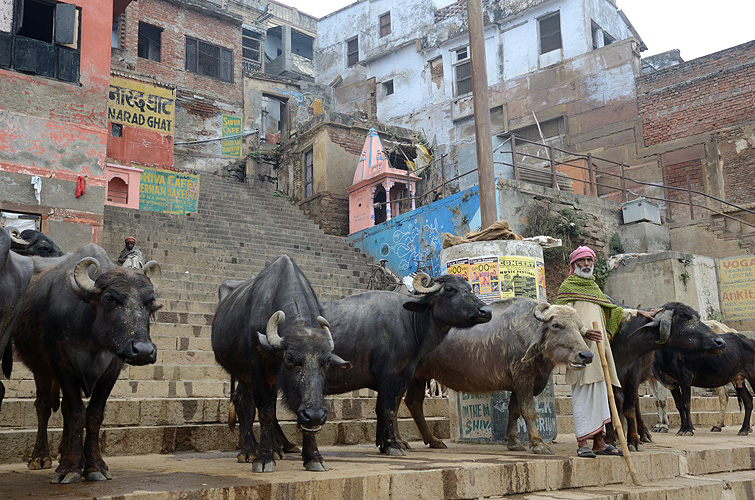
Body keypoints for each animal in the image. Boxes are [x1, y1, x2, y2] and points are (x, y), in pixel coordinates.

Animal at [12, 244, 162, 482]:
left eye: (149, 302)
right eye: (109, 298)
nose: (143, 351)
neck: (92, 339)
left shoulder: (112, 369)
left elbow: (93, 415)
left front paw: (93, 466)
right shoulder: (62, 365)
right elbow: (75, 414)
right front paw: (70, 468)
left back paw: (64, 451)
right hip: (41, 368)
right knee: (44, 406)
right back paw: (41, 457)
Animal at [210, 256, 352, 470]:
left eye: (327, 362)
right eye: (290, 358)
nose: (315, 414)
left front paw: (314, 457)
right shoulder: (256, 367)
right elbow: (266, 412)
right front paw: (263, 459)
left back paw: (277, 449)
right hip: (244, 374)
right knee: (246, 404)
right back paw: (249, 451)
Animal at [322, 276, 494, 456]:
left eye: (469, 288)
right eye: (449, 290)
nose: (485, 311)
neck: (410, 321)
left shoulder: (405, 376)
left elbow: (385, 409)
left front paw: (385, 443)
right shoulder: (388, 375)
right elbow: (387, 409)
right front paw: (392, 445)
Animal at [404, 298, 592, 456]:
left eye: (579, 327)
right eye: (556, 325)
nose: (586, 355)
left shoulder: (517, 384)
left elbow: (514, 411)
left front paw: (513, 442)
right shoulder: (523, 377)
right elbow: (529, 411)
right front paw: (538, 444)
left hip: (417, 377)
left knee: (413, 403)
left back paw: (432, 441)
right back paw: (401, 443)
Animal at [608, 302, 728, 452]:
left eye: (697, 316)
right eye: (683, 315)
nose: (719, 342)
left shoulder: (640, 374)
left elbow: (637, 406)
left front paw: (635, 441)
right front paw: (611, 438)